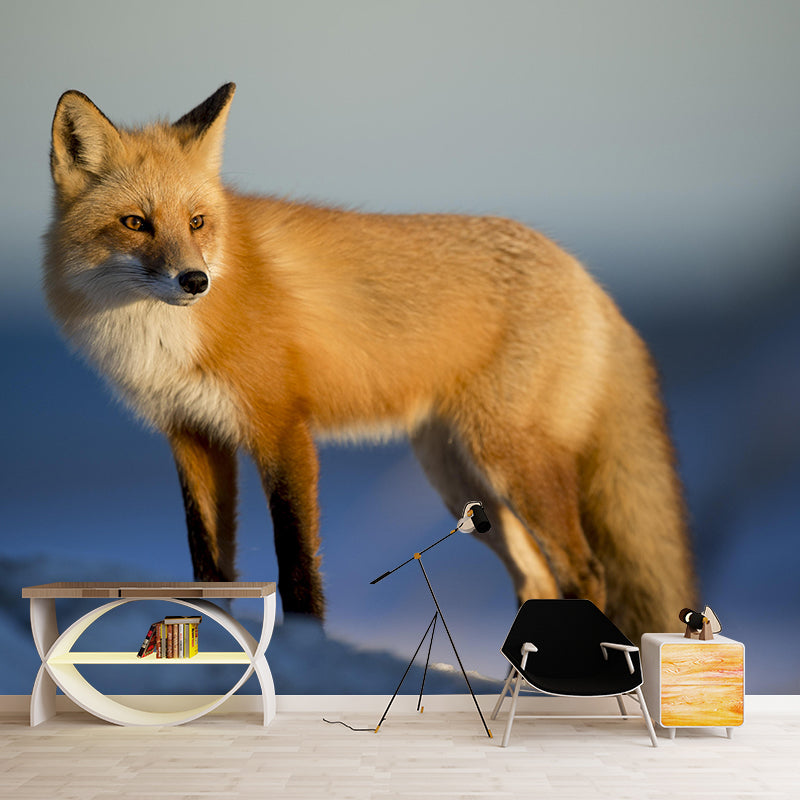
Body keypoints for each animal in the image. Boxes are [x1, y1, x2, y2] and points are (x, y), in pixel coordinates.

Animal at [43, 83, 696, 639]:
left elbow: (297, 566)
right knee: (536, 576)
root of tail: (586, 277)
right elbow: (208, 569)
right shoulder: (192, 436)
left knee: (585, 570)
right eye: (135, 222)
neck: (163, 339)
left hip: (512, 460)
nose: (195, 280)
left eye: (197, 222)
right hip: (460, 481)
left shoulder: (282, 430)